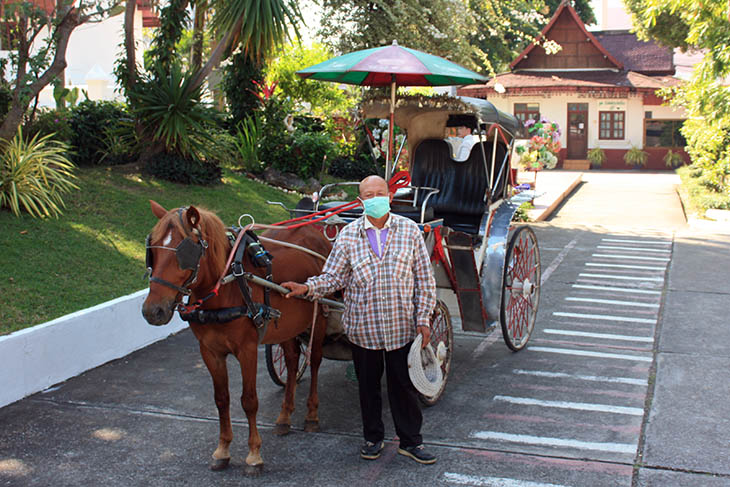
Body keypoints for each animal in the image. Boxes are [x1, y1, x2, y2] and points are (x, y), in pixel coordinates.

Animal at [140, 201, 332, 476]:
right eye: (152, 249)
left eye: (184, 251)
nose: (152, 311)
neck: (227, 287)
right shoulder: (210, 351)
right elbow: (222, 400)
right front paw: (222, 450)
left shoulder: (247, 349)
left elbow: (249, 401)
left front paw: (254, 455)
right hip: (286, 326)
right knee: (293, 359)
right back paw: (285, 417)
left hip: (322, 316)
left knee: (315, 361)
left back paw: (311, 415)